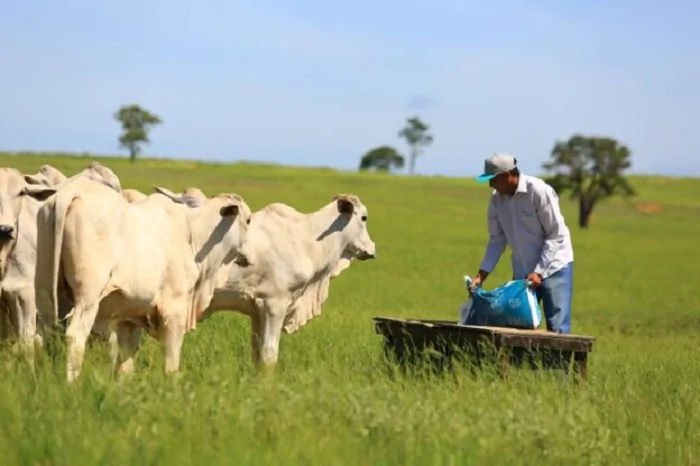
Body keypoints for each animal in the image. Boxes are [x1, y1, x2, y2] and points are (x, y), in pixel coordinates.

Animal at [33, 178, 254, 382]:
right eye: (249, 220)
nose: (249, 256)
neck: (193, 237)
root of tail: (69, 194)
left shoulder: (129, 317)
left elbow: (126, 359)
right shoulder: (174, 311)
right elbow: (171, 361)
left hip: (45, 291)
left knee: (40, 335)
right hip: (87, 297)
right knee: (75, 337)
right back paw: (72, 385)